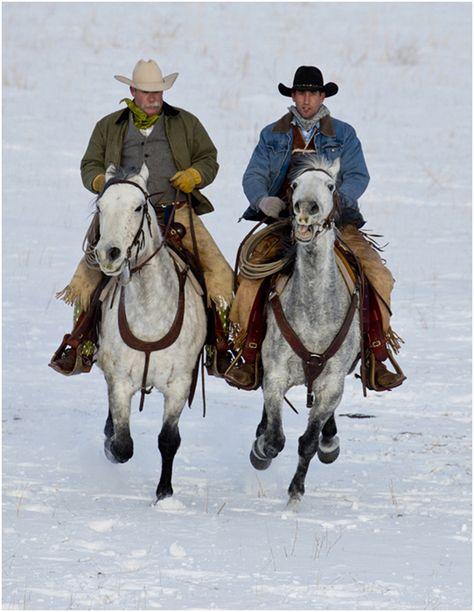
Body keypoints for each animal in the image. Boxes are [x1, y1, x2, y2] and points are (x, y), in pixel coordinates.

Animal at [93, 164, 206, 502]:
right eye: (100, 207)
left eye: (138, 207)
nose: (109, 253)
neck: (150, 310)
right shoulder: (120, 381)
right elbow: (122, 445)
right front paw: (111, 444)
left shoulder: (179, 384)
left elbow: (168, 440)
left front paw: (164, 493)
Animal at [250, 155, 362, 504]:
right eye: (295, 184)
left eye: (331, 185)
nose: (306, 208)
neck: (314, 311)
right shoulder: (275, 375)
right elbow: (275, 437)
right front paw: (261, 449)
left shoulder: (332, 385)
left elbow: (308, 442)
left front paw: (295, 494)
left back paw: (330, 442)